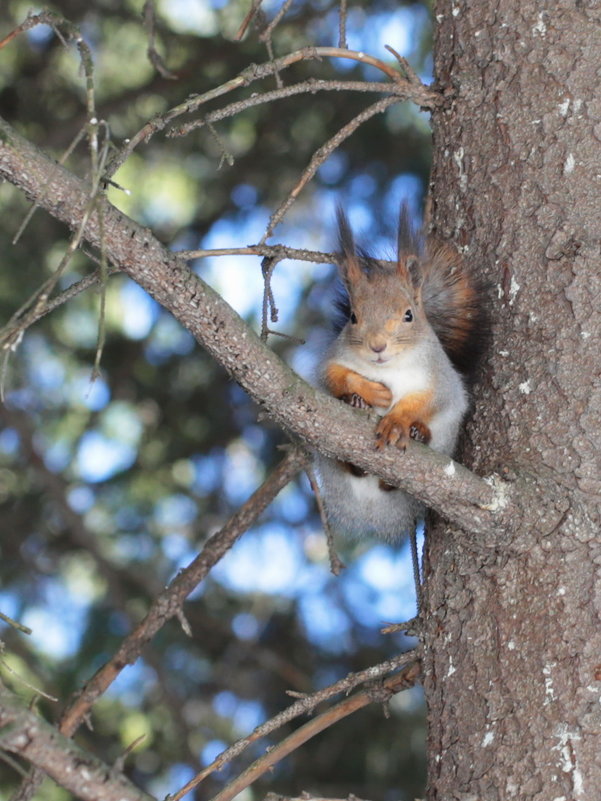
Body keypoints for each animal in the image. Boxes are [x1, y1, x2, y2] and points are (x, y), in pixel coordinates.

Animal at [316, 208, 486, 544]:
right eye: (353, 317)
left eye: (409, 315)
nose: (377, 346)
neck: (388, 367)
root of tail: (371, 508)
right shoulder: (333, 359)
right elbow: (335, 377)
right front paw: (369, 393)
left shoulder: (439, 378)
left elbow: (429, 400)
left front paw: (397, 420)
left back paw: (417, 435)